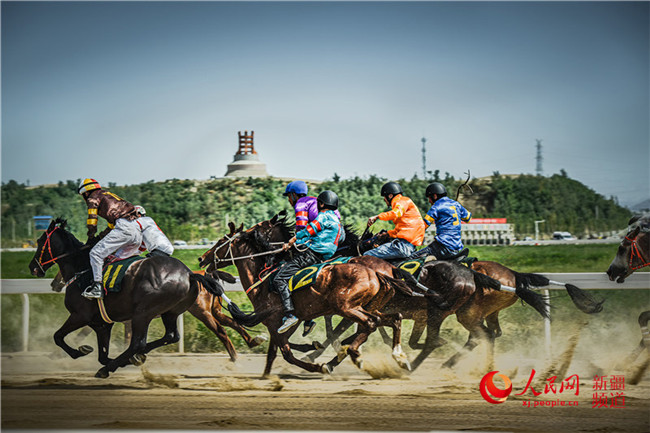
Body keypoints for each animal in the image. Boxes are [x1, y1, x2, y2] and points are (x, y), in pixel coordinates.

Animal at [28, 218, 228, 378]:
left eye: (39, 241)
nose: (33, 267)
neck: (81, 269)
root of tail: (189, 274)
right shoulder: (102, 324)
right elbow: (101, 354)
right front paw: (98, 354)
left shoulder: (80, 315)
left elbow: (57, 336)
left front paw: (80, 352)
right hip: (170, 312)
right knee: (170, 336)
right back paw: (130, 359)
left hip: (143, 313)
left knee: (137, 343)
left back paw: (113, 366)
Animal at [198, 213, 417, 376]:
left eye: (221, 241)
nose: (202, 258)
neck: (264, 279)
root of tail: (378, 271)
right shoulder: (279, 324)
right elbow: (274, 353)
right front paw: (266, 376)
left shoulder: (276, 321)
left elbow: (287, 353)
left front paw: (317, 364)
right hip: (367, 307)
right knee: (392, 318)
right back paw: (398, 356)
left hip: (346, 307)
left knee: (371, 323)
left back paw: (352, 354)